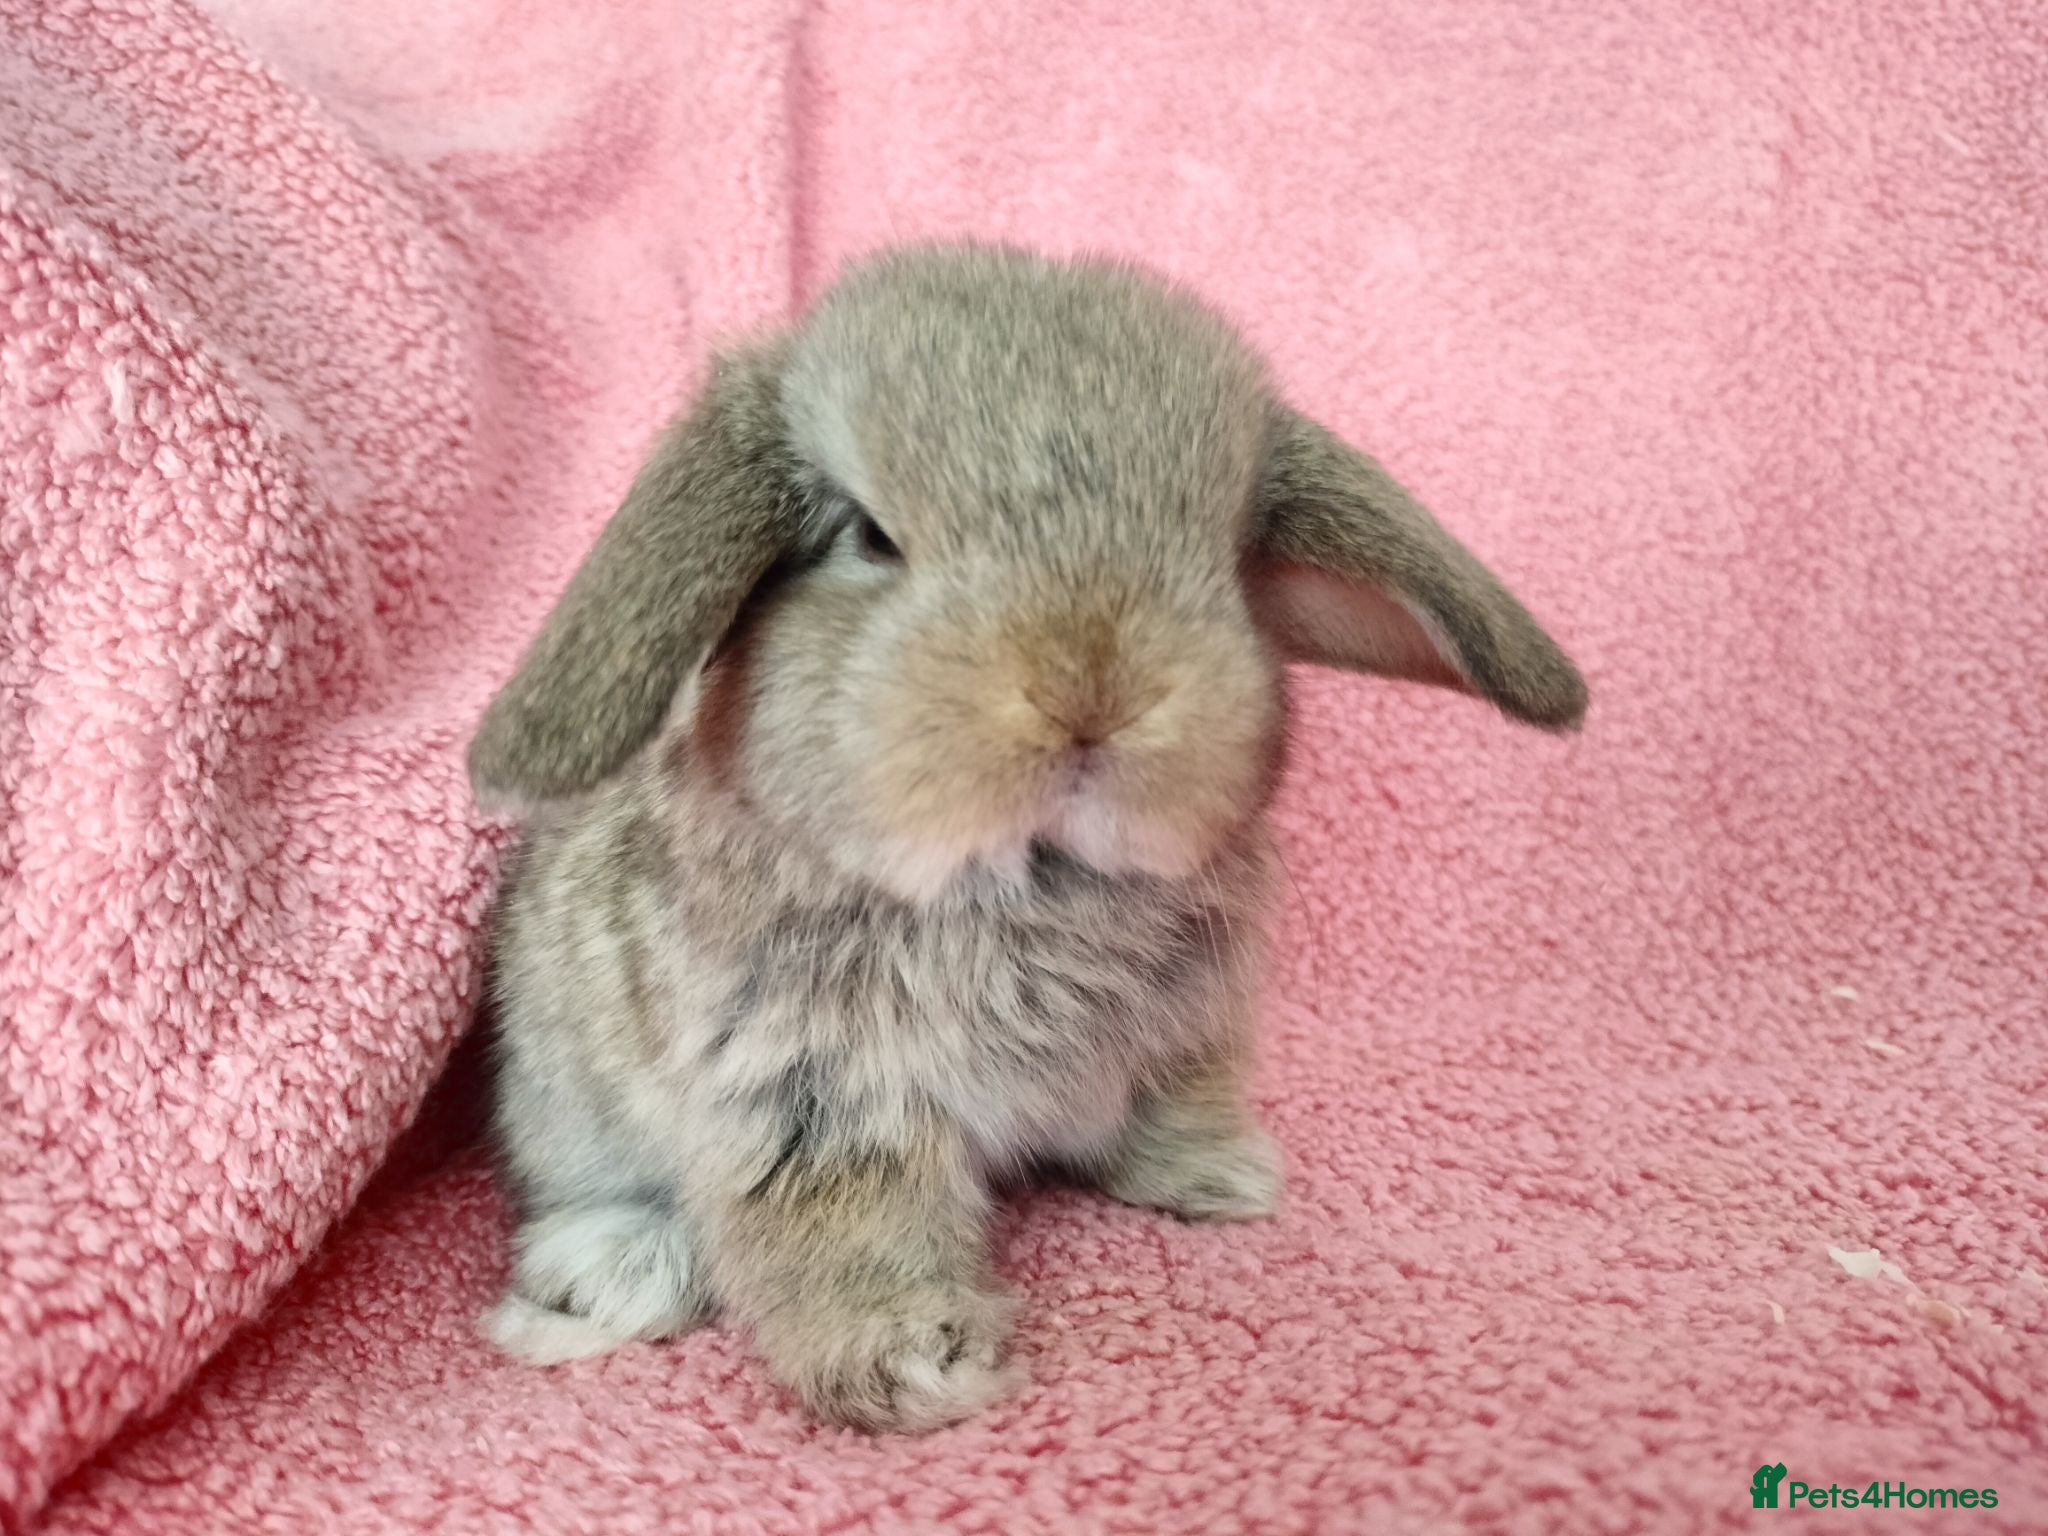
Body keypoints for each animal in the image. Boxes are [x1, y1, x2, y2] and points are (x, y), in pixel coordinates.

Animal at [467, 240, 1586, 1433]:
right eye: (870, 536)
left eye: (1223, 552)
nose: (1089, 691)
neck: (1026, 875)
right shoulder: (810, 1100)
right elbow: (845, 1231)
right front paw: (921, 1368)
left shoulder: (1184, 1033)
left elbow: (1164, 1112)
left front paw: (1223, 1178)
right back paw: (605, 1275)